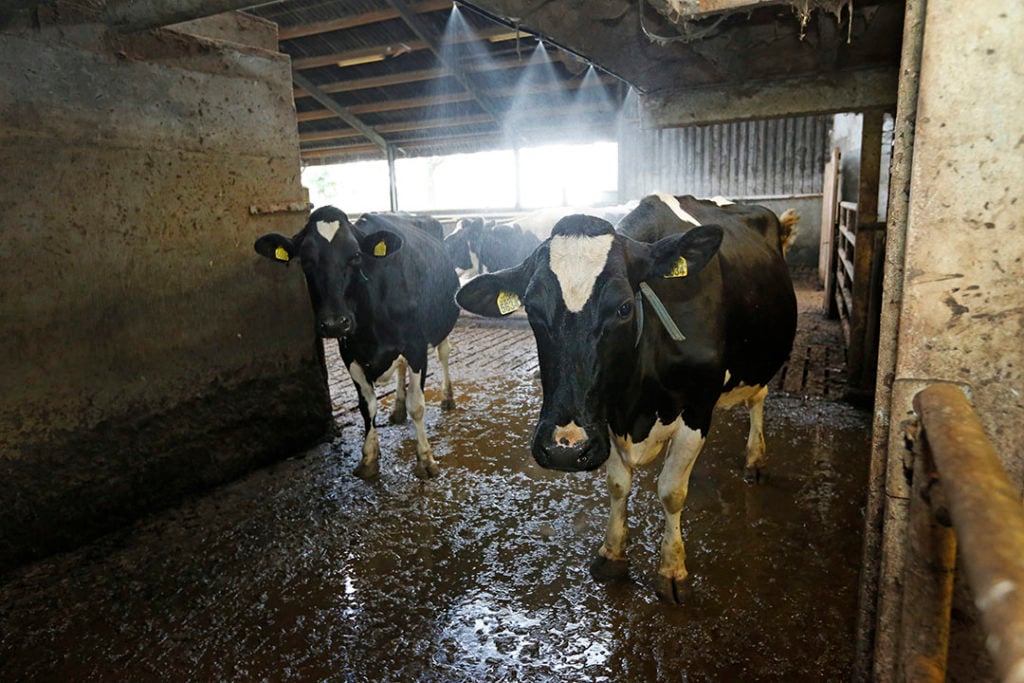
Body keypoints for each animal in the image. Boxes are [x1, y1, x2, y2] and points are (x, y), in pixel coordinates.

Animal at [256, 206, 460, 481]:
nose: (334, 323)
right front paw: (369, 457)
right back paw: (397, 409)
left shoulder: (416, 346)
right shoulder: (350, 353)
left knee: (444, 354)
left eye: (354, 256)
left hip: (442, 324)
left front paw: (426, 459)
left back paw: (447, 398)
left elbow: (417, 404)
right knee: (401, 369)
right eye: (306, 260)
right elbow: (367, 406)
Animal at [456, 193, 798, 602]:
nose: (564, 448)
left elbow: (671, 491)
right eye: (533, 310)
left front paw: (672, 569)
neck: (637, 404)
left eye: (623, 308)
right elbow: (618, 485)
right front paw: (612, 554)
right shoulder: (606, 416)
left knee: (757, 399)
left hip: (762, 360)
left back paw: (755, 459)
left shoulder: (697, 409)